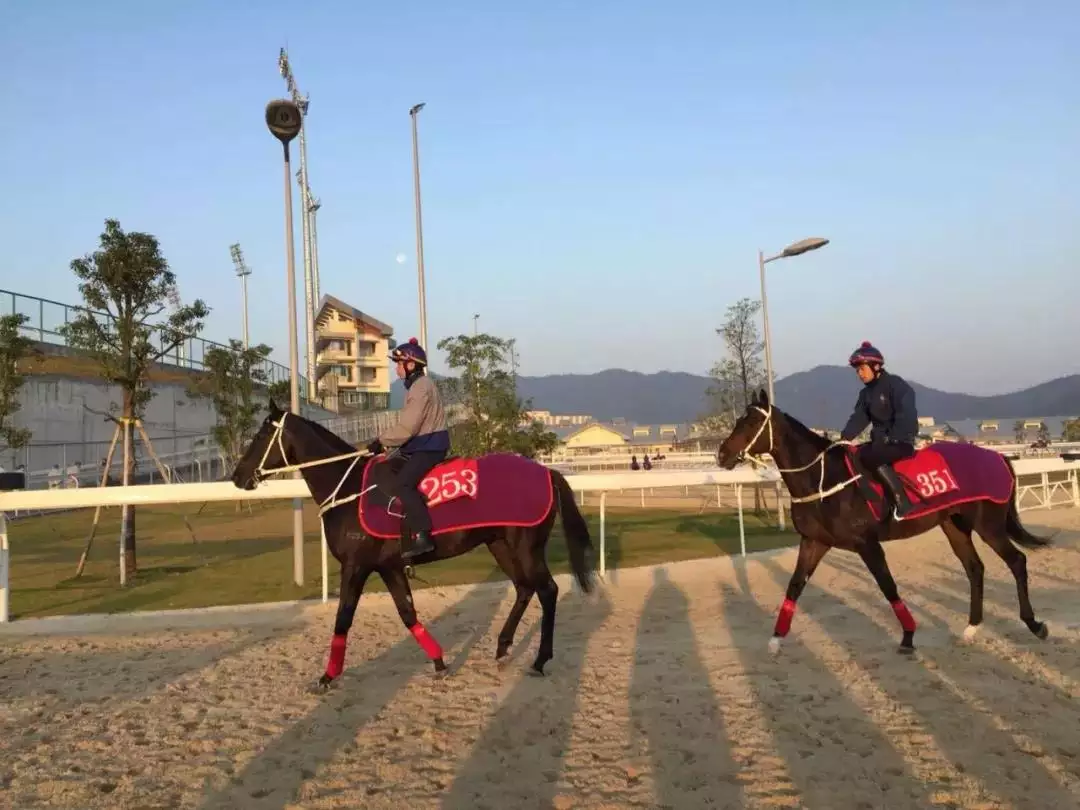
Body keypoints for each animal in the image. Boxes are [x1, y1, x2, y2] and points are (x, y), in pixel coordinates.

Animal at [231, 403, 596, 686]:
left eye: (260, 435)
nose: (237, 476)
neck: (349, 489)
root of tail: (547, 472)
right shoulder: (388, 566)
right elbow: (407, 613)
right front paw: (440, 662)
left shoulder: (356, 566)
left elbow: (343, 617)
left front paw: (327, 676)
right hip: (501, 545)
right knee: (524, 588)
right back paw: (503, 647)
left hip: (524, 547)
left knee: (547, 590)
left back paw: (539, 659)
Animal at [712, 390, 1049, 656]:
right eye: (739, 419)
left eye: (751, 422)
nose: (721, 454)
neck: (824, 479)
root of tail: (999, 457)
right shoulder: (814, 542)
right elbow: (794, 586)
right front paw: (775, 639)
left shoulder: (867, 544)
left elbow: (887, 586)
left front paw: (909, 635)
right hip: (954, 525)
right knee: (974, 568)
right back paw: (971, 629)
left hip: (988, 524)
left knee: (1016, 560)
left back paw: (1035, 624)